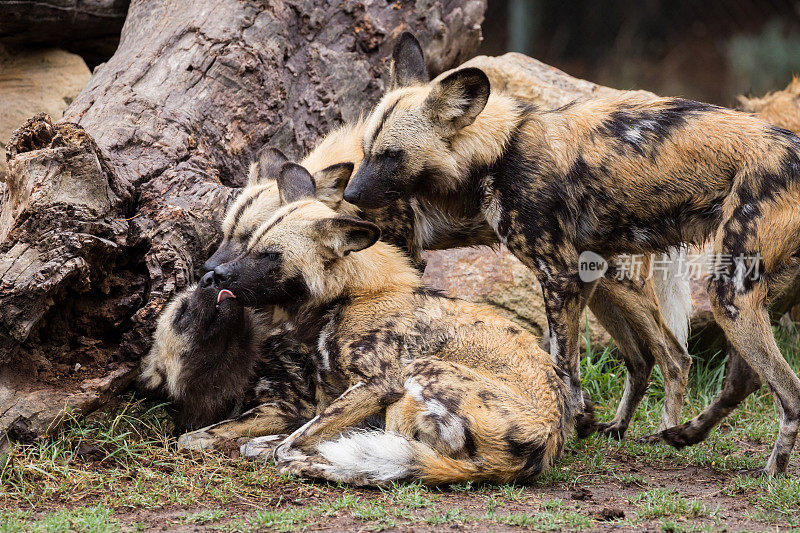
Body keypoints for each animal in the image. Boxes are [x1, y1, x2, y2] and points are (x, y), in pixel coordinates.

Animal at [209, 167, 572, 486]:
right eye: (250, 244)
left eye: (271, 255)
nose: (214, 275)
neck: (352, 294)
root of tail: (542, 447)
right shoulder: (336, 396)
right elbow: (300, 433)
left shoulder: (377, 385)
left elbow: (290, 443)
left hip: (419, 371)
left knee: (387, 457)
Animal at [342, 33, 800, 474]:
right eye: (364, 150)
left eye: (392, 155)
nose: (349, 195)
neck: (498, 153)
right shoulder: (579, 275)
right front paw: (580, 422)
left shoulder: (558, 276)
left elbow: (563, 364)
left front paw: (570, 423)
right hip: (671, 288)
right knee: (719, 373)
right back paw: (674, 435)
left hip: (726, 295)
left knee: (782, 391)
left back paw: (769, 471)